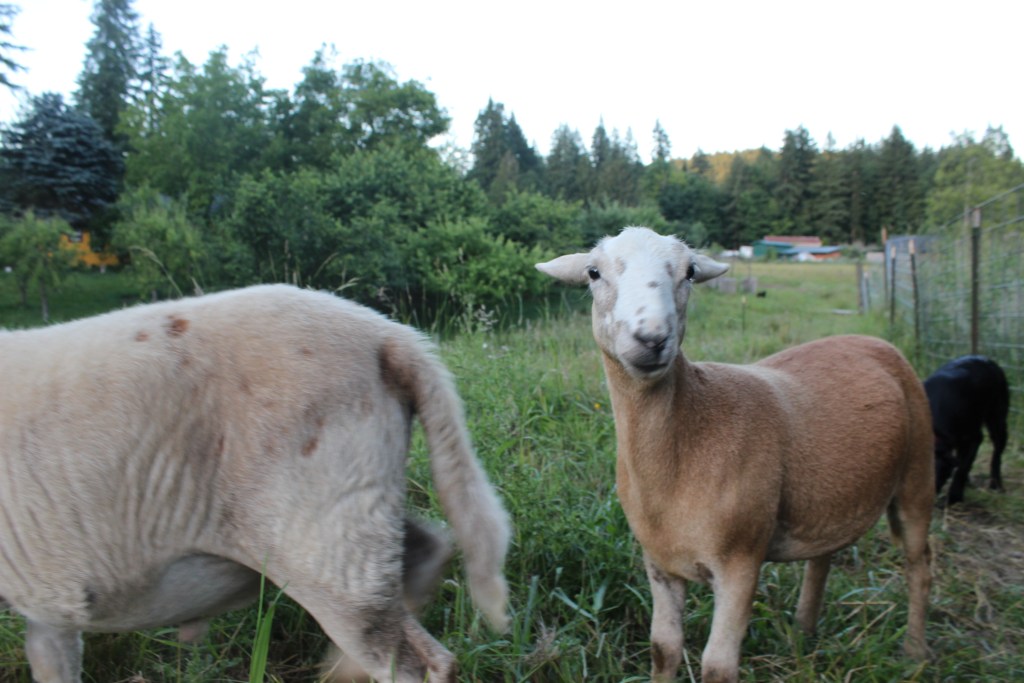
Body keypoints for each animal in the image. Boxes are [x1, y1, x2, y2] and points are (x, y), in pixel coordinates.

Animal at [0, 284, 510, 683]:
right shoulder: (47, 599)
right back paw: (340, 670)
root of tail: (390, 336)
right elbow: (51, 659)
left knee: (417, 661)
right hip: (354, 507)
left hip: (321, 544)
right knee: (426, 552)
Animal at [536, 227, 934, 683]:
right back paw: (803, 632)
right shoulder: (658, 561)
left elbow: (718, 667)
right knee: (823, 557)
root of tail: (873, 339)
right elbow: (663, 648)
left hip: (919, 471)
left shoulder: (741, 561)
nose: (652, 338)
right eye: (593, 272)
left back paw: (915, 651)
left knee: (919, 564)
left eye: (690, 272)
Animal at [924, 355, 1010, 505]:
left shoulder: (974, 439)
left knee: (997, 455)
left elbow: (962, 468)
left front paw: (955, 497)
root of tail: (985, 359)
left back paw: (996, 485)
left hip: (997, 421)